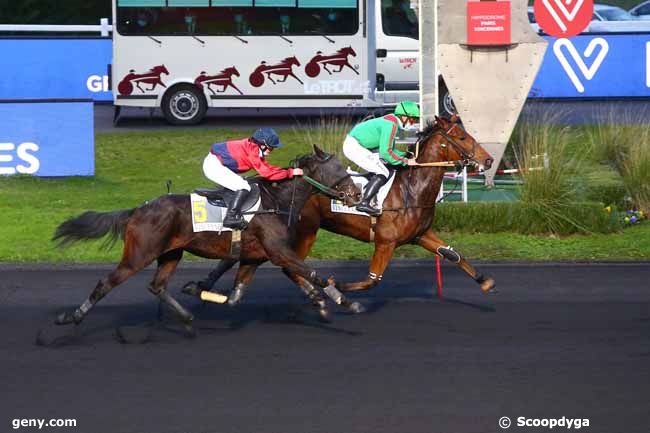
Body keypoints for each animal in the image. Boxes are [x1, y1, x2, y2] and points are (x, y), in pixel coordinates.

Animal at [52, 145, 360, 328]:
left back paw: (187, 317)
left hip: (170, 253)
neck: (277, 200)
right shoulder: (278, 250)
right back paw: (72, 316)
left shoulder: (256, 256)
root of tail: (138, 209)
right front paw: (346, 301)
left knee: (157, 286)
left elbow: (238, 295)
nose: (356, 195)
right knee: (106, 283)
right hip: (139, 254)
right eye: (337, 169)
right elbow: (313, 273)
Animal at [185, 116, 494, 308]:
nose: (489, 160)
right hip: (305, 232)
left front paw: (485, 281)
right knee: (285, 264)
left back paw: (202, 285)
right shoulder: (386, 242)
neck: (411, 190)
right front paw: (338, 288)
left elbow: (452, 254)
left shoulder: (420, 235)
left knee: (242, 256)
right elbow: (372, 280)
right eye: (462, 137)